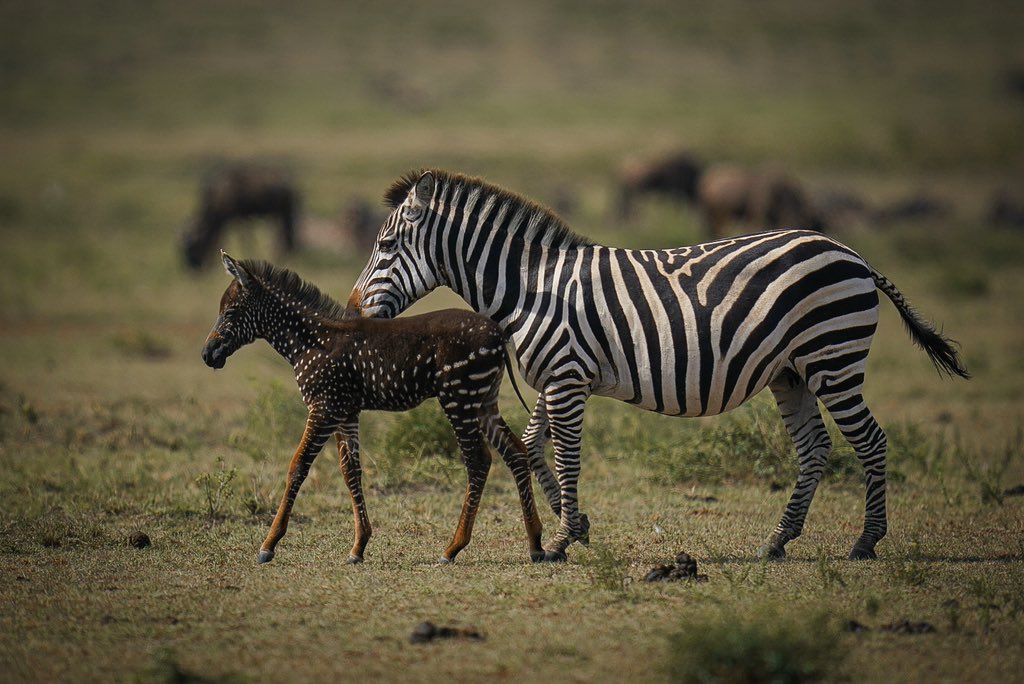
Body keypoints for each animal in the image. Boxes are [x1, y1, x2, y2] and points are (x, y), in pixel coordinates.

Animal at [346, 169, 969, 562]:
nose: (351, 312)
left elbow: (566, 456)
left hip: (833, 359)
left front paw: (565, 536)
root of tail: (851, 253)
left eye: (384, 248)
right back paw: (778, 540)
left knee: (872, 442)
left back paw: (866, 542)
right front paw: (568, 524)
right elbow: (531, 443)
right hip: (792, 373)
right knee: (815, 447)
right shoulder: (555, 377)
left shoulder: (567, 377)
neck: (531, 287)